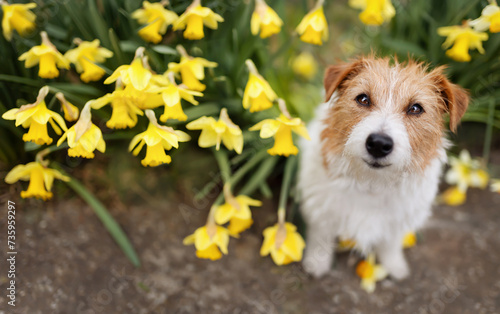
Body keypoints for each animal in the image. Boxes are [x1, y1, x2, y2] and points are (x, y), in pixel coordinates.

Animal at [296, 55, 468, 278]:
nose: (378, 143)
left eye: (415, 108)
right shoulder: (321, 211)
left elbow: (391, 244)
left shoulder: (397, 222)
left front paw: (394, 265)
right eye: (363, 99)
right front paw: (317, 263)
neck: (373, 184)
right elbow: (320, 238)